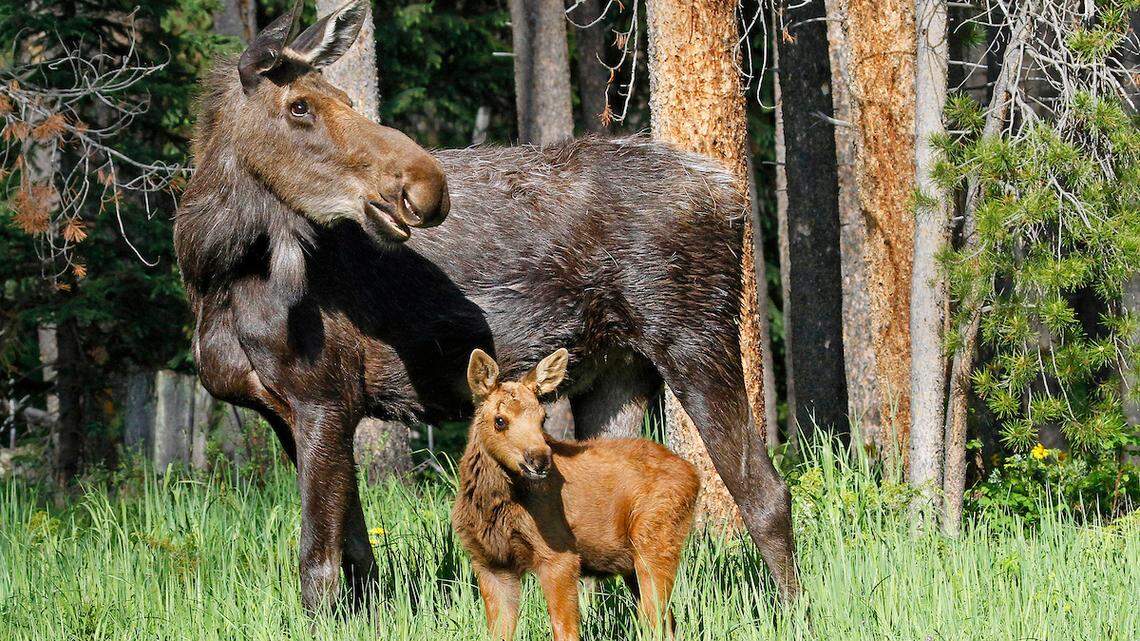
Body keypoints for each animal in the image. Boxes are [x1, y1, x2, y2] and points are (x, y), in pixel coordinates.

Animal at [453, 348, 698, 641]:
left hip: (656, 540)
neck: (493, 506)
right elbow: (499, 633)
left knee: (656, 621)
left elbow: (565, 629)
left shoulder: (560, 555)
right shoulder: (490, 563)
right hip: (635, 562)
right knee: (667, 623)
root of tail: (693, 474)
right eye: (500, 421)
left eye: (543, 418)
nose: (540, 460)